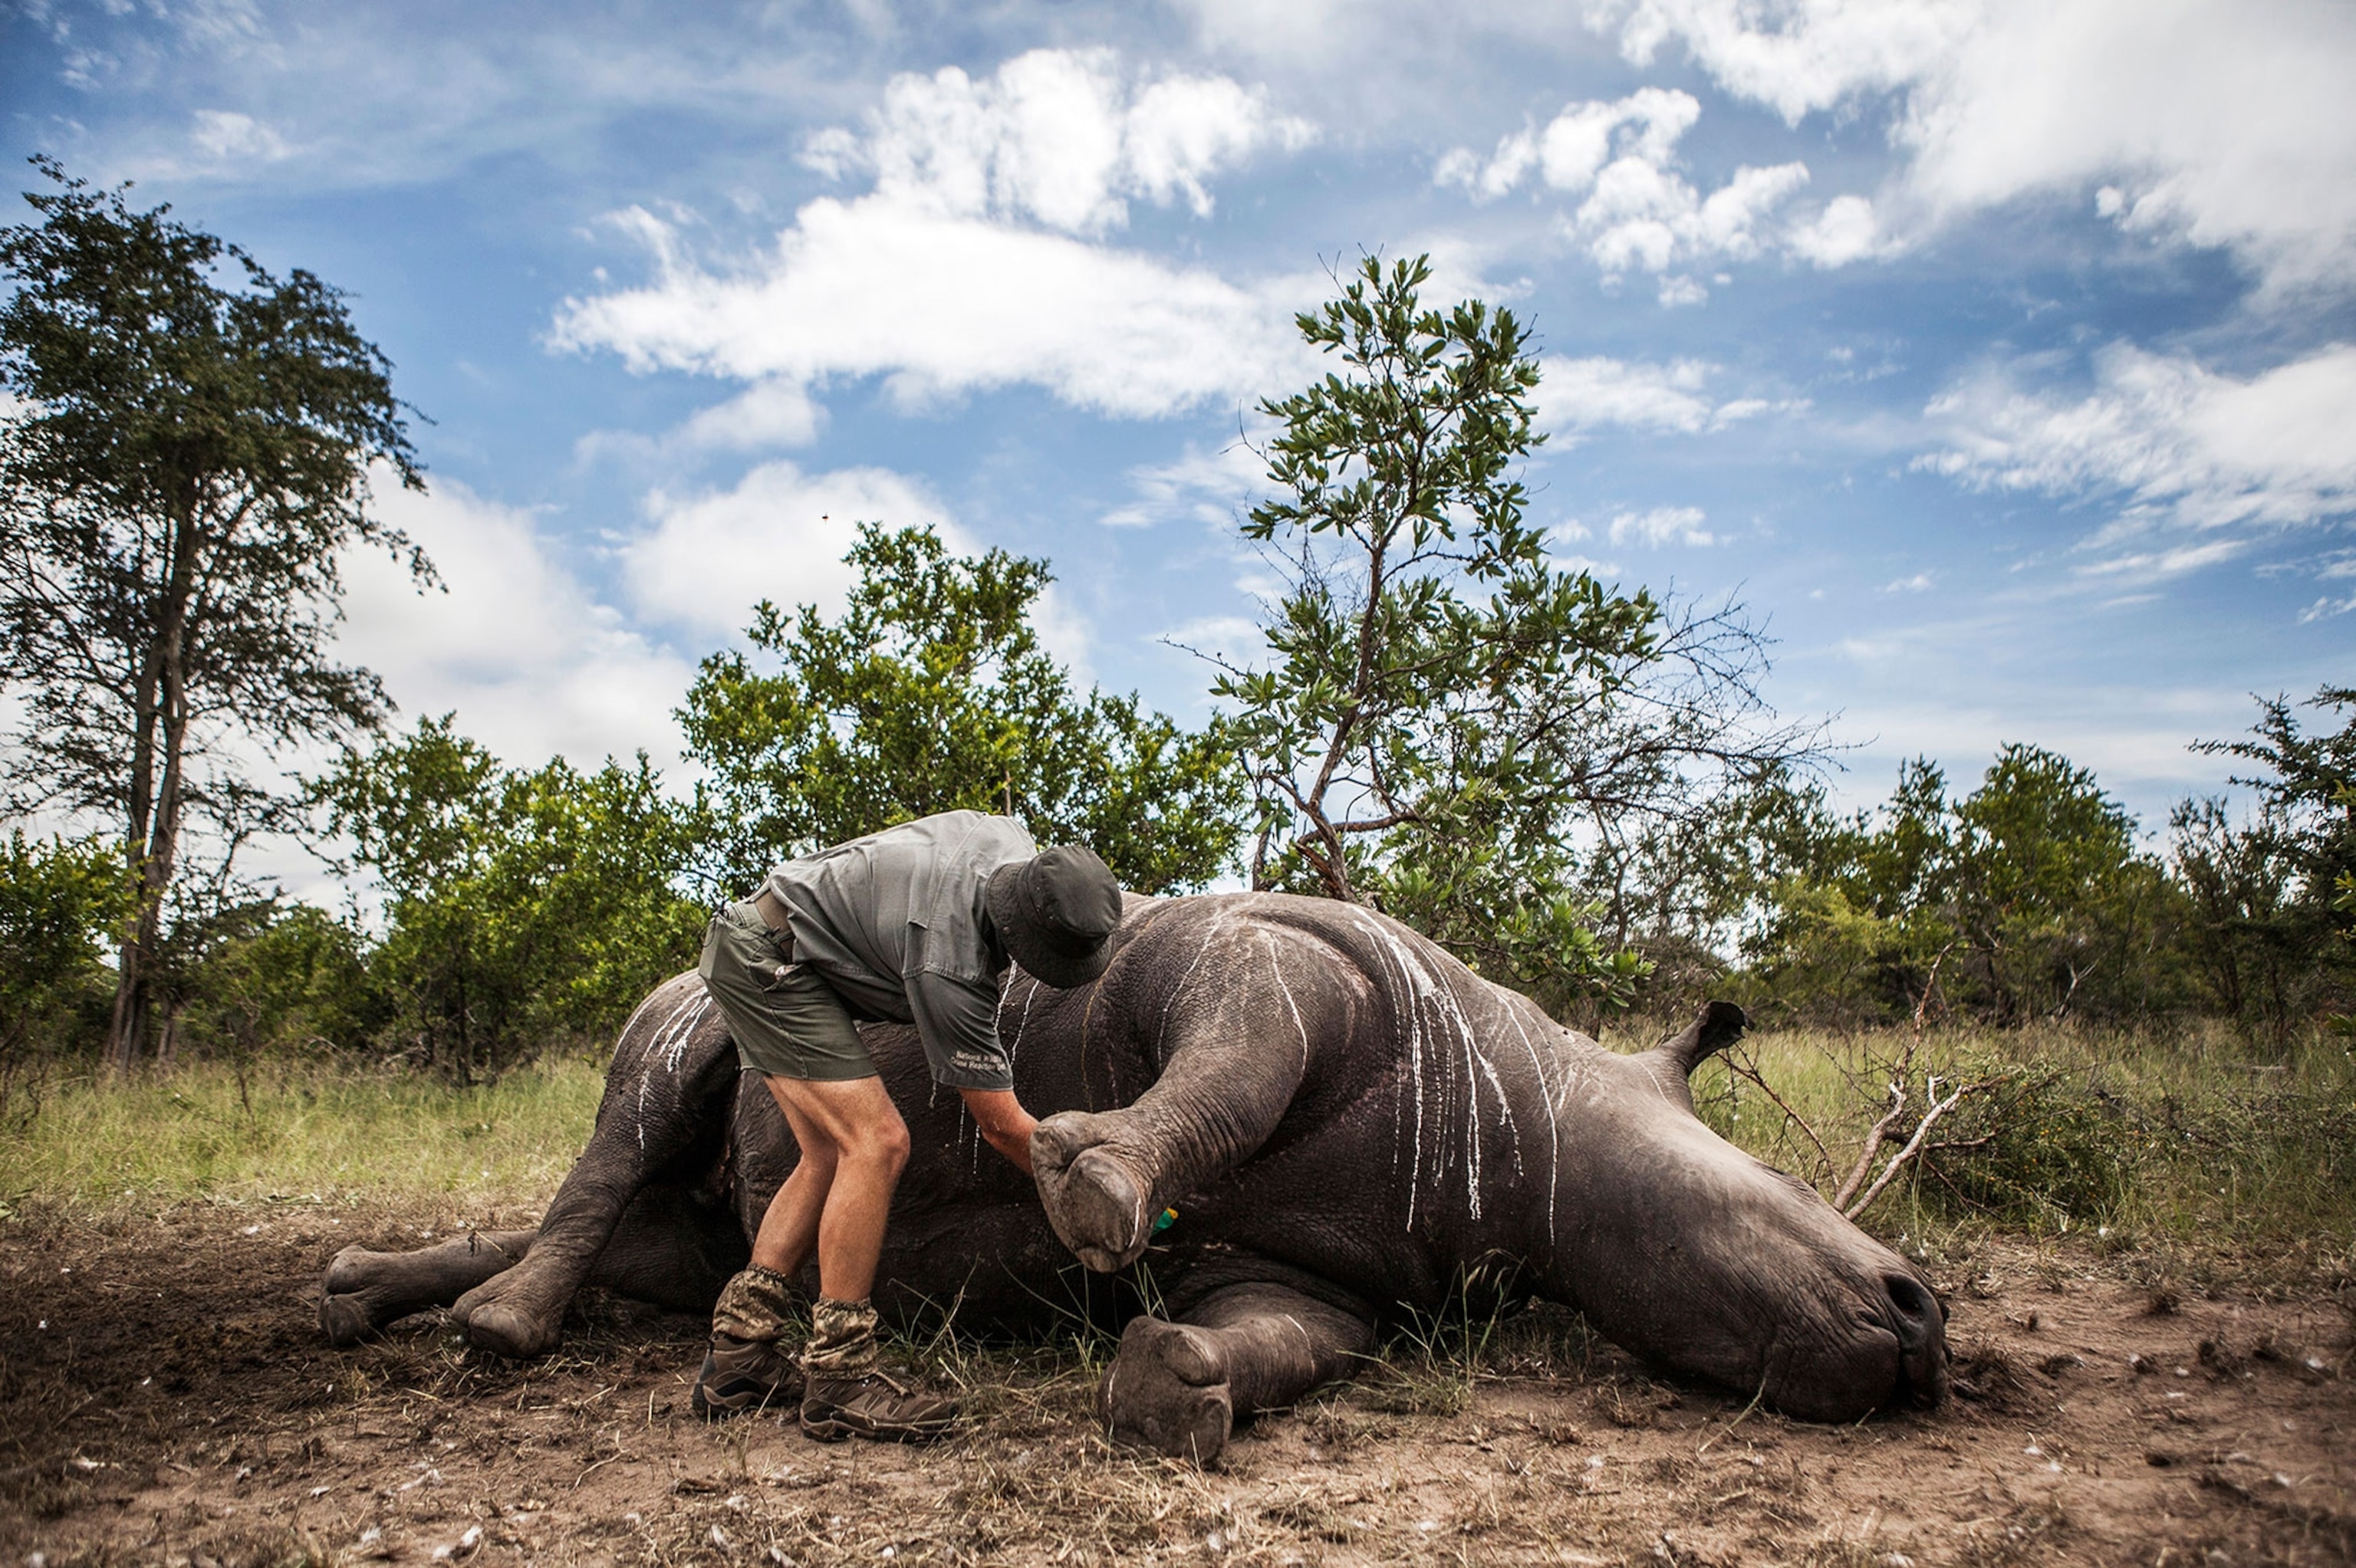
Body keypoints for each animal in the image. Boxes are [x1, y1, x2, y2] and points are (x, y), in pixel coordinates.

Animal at [320, 892, 1947, 1460]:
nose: (1922, 1320)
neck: (1536, 1108)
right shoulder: (1282, 954)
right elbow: (1231, 1058)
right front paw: (1089, 1179)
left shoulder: (1334, 1271)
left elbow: (1286, 1336)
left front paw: (1172, 1389)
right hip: (710, 981)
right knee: (645, 1092)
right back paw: (500, 1335)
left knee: (681, 1246)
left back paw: (368, 1302)